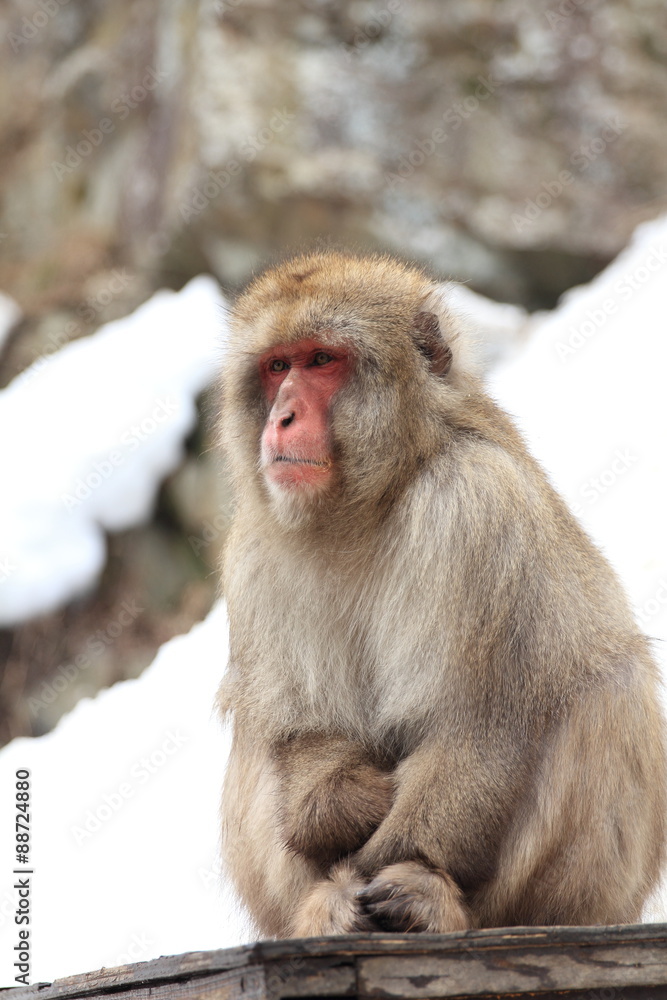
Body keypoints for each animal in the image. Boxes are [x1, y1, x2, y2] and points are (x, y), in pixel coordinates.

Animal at [218, 252, 664, 936]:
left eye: (321, 360)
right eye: (276, 367)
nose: (282, 417)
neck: (367, 504)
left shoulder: (474, 504)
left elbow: (481, 720)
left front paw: (392, 864)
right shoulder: (252, 553)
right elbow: (302, 732)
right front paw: (348, 808)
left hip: (586, 895)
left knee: (607, 686)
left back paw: (436, 904)